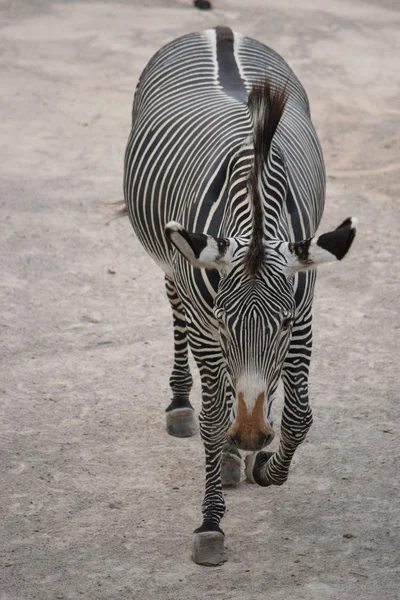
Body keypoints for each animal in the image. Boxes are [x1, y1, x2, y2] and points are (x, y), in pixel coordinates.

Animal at [122, 25, 356, 564]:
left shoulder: (304, 313)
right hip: (176, 269)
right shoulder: (208, 323)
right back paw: (187, 410)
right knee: (178, 318)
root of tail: (219, 30)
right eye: (227, 322)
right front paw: (211, 523)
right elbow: (213, 419)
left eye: (284, 323)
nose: (251, 436)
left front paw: (266, 465)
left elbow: (298, 415)